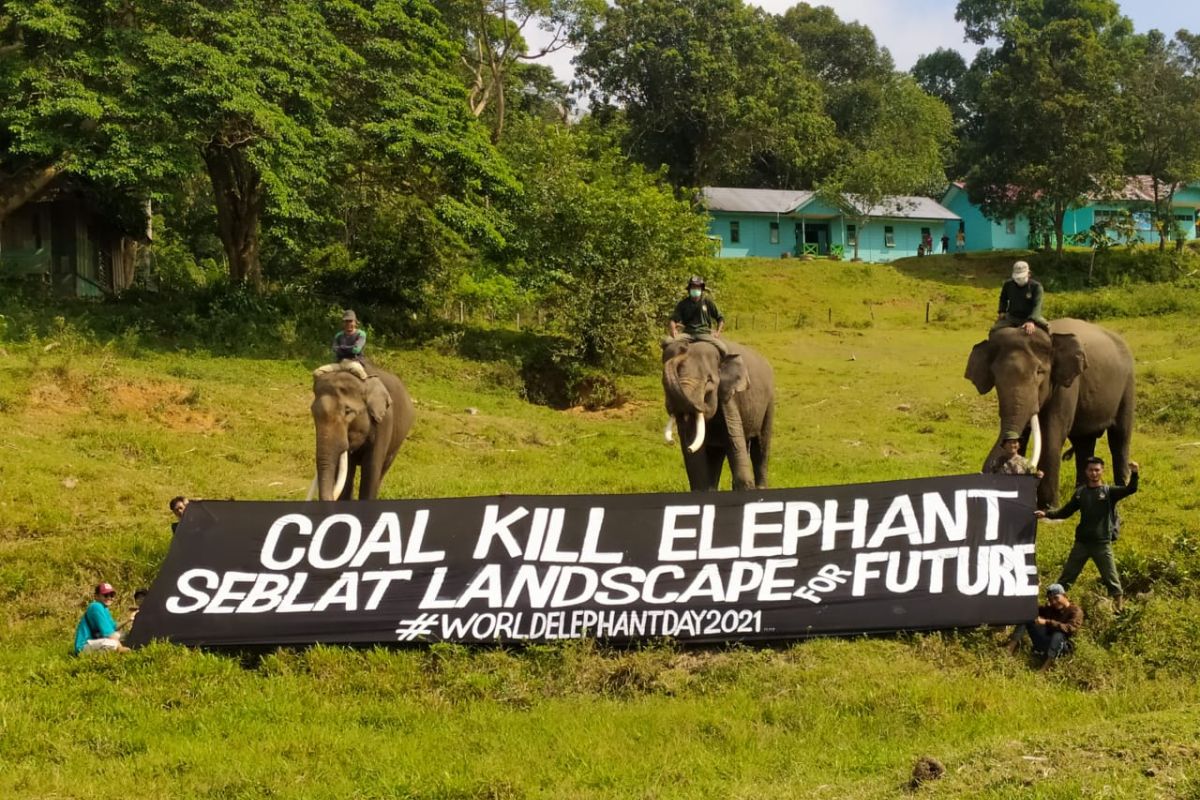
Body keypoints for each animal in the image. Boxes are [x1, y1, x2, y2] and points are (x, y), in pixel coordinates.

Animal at [307, 362, 415, 501]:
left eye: (348, 411)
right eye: (313, 411)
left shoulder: (384, 422)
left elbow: (371, 469)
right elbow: (347, 474)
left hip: (397, 444)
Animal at [662, 335, 772, 491]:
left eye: (709, 381)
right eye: (663, 382)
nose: (684, 345)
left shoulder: (729, 397)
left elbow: (734, 440)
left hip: (769, 402)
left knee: (761, 445)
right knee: (717, 454)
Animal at [964, 316, 1132, 506]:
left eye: (1039, 372)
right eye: (995, 375)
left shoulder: (1067, 386)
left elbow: (1053, 434)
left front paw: (1048, 507)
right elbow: (1021, 435)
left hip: (1128, 383)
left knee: (1120, 436)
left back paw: (1122, 488)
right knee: (1084, 441)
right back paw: (1081, 490)